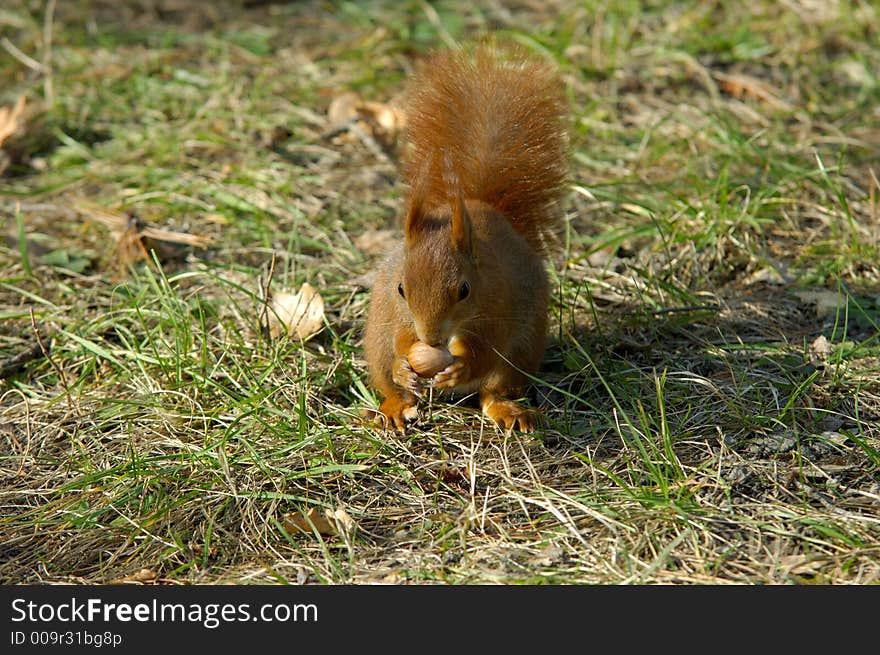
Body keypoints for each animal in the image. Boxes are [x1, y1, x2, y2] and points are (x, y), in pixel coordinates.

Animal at [364, 44, 572, 436]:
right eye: (401, 289)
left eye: (464, 290)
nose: (430, 339)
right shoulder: (396, 313)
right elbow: (401, 339)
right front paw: (405, 366)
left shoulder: (498, 303)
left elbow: (486, 351)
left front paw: (460, 368)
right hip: (376, 342)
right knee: (388, 379)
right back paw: (395, 405)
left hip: (520, 352)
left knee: (493, 390)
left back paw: (507, 410)